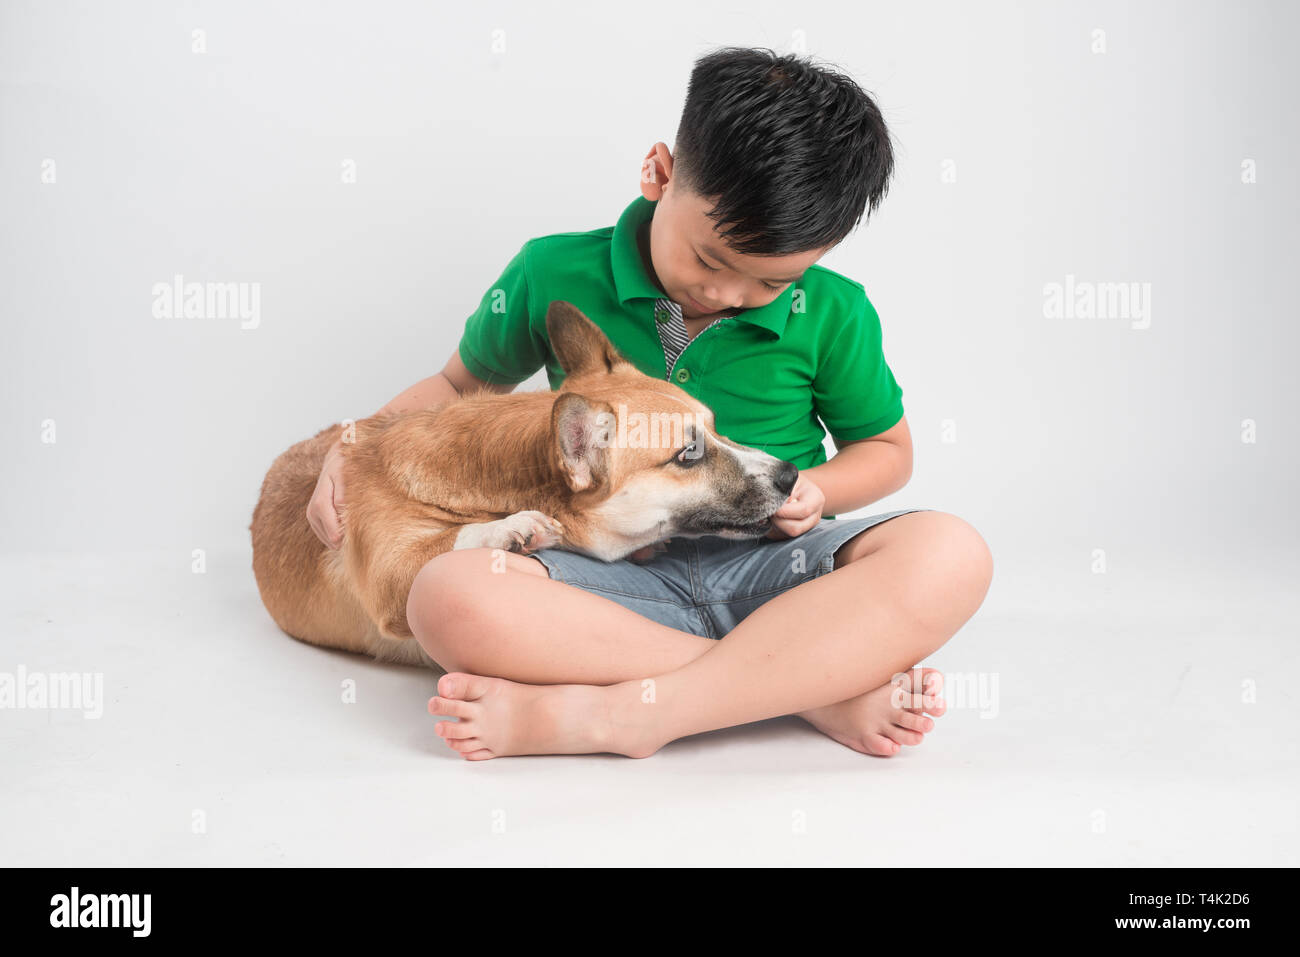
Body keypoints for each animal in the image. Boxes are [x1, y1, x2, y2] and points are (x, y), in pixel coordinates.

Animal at [248, 299, 795, 665]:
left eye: (716, 427)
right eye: (688, 455)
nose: (791, 476)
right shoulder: (389, 576)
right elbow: (456, 537)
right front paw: (512, 528)